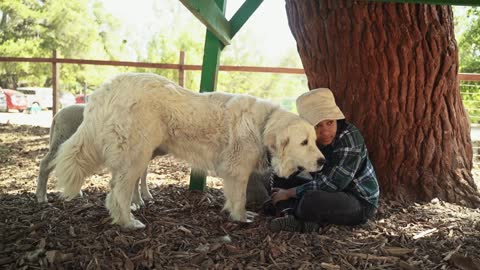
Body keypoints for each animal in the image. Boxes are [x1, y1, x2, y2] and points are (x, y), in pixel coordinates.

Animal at [50, 73, 324, 229]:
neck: (262, 125)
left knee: (113, 189)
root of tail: (105, 89)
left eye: (314, 140)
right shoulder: (238, 172)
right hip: (136, 156)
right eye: (304, 142)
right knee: (119, 192)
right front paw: (241, 218)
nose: (322, 162)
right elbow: (240, 198)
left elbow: (233, 196)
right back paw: (129, 223)